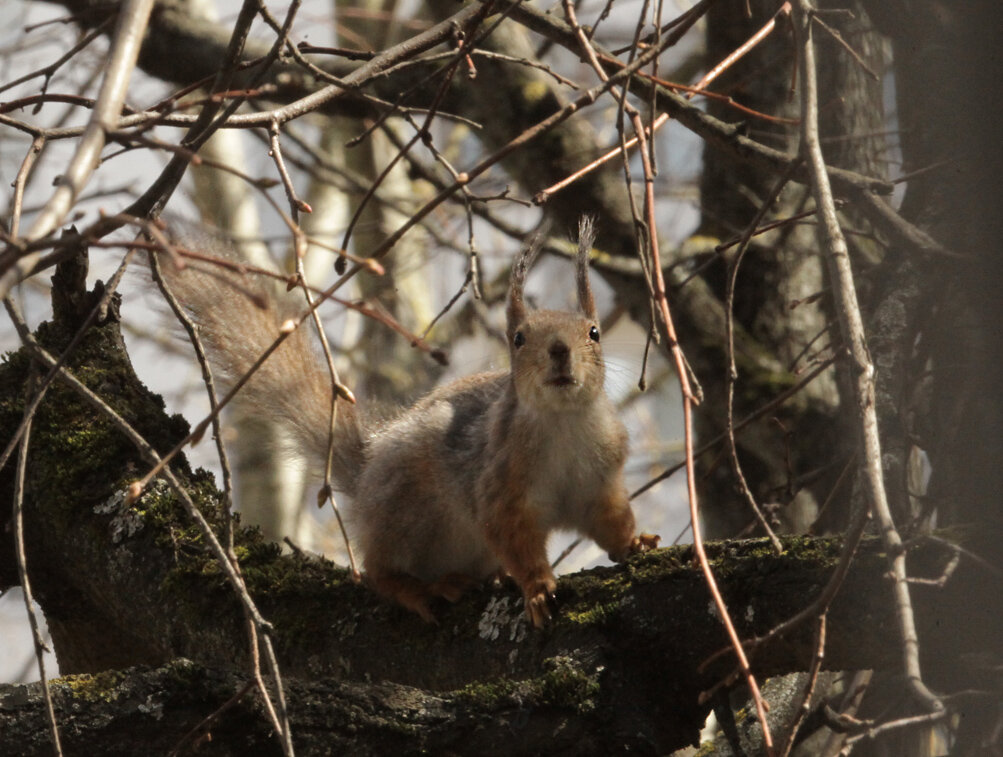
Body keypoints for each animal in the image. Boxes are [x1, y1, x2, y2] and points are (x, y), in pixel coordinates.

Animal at [156, 217, 657, 629]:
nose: (558, 350)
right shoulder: (499, 485)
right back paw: (425, 588)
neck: (563, 421)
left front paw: (634, 543)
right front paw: (535, 588)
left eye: (594, 332)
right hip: (406, 511)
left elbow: (610, 520)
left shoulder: (600, 480)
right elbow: (513, 537)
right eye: (517, 339)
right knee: (379, 572)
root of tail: (366, 477)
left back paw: (490, 578)